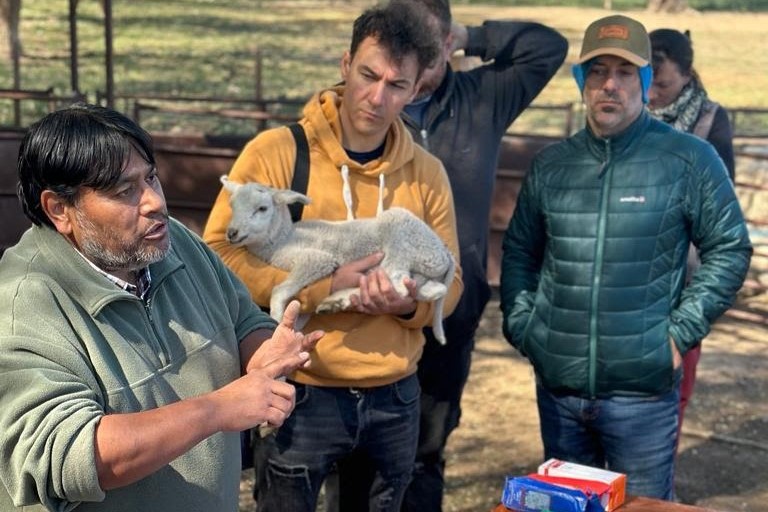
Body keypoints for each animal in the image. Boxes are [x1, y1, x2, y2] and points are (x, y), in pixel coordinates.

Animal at [219, 176, 452, 344]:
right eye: (232, 206)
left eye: (262, 208)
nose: (232, 233)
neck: (283, 239)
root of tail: (445, 253)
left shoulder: (316, 259)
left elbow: (279, 291)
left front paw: (276, 322)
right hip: (421, 270)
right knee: (428, 289)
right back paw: (336, 302)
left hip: (401, 239)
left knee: (398, 285)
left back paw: (338, 300)